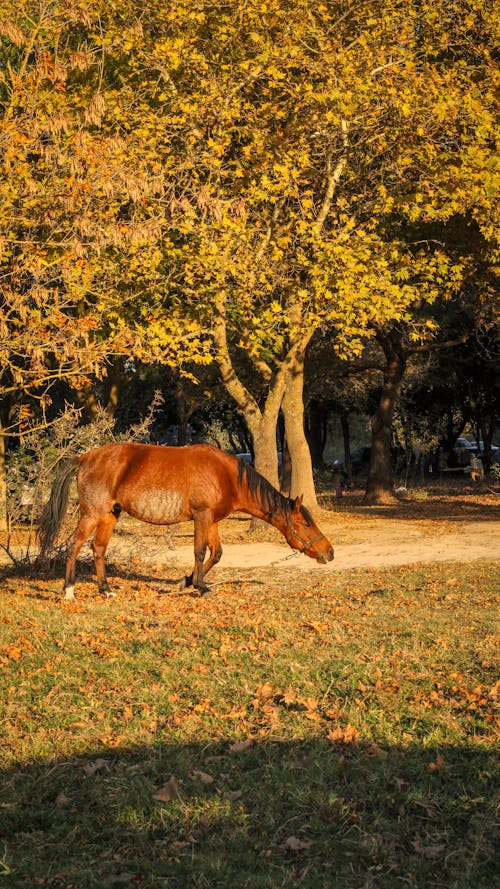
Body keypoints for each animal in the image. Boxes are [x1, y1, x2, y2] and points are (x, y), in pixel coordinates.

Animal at [39, 442, 334, 600]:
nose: (330, 552)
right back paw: (69, 590)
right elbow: (200, 551)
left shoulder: (212, 520)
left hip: (110, 515)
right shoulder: (202, 517)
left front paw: (187, 581)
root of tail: (85, 456)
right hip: (92, 514)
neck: (225, 475)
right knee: (74, 546)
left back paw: (106, 590)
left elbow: (216, 554)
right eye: (307, 524)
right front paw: (201, 586)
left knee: (98, 550)